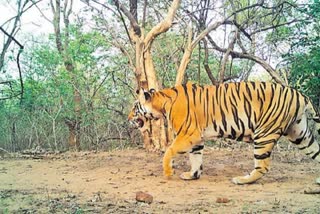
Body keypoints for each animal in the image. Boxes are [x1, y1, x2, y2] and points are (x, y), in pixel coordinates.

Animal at [128, 81, 320, 185]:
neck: (162, 103)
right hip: (299, 134)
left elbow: (168, 151)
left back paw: (242, 180)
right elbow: (196, 158)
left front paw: (168, 173)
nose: (128, 118)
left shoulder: (188, 134)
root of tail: (300, 95)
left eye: (134, 108)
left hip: (265, 134)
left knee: (262, 166)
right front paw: (192, 175)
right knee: (316, 151)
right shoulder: (196, 138)